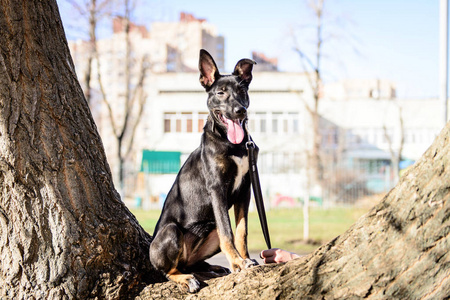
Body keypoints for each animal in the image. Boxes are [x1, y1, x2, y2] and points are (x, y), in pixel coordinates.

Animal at [150, 49, 258, 292]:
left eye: (242, 91)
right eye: (220, 92)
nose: (239, 111)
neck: (232, 144)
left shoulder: (245, 189)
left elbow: (241, 231)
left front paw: (245, 259)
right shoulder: (217, 188)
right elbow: (228, 232)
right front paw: (238, 262)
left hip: (209, 229)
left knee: (191, 263)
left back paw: (213, 268)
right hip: (171, 231)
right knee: (168, 272)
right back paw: (187, 278)